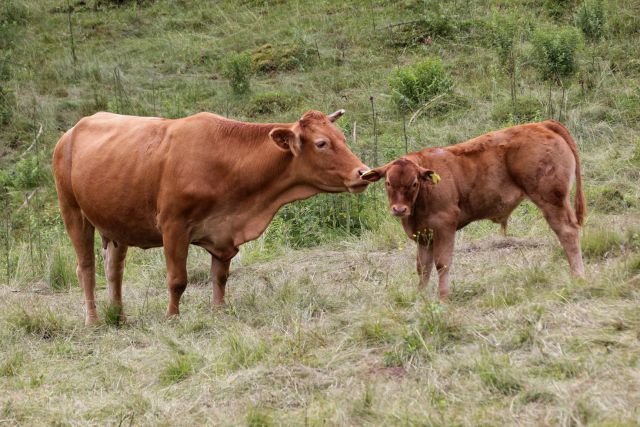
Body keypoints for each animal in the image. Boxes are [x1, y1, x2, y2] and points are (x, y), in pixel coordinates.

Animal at [53, 109, 370, 324]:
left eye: (342, 138)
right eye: (321, 143)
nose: (363, 172)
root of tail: (72, 130)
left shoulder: (224, 232)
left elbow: (220, 277)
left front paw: (218, 312)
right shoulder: (173, 225)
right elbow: (177, 279)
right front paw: (172, 318)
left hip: (116, 221)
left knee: (113, 269)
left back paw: (119, 317)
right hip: (72, 210)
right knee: (86, 269)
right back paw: (94, 321)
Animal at [360, 120, 584, 300]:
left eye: (414, 183)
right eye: (388, 182)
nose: (399, 209)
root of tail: (542, 124)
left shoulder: (444, 226)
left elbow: (442, 263)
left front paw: (443, 297)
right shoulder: (424, 235)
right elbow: (422, 267)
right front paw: (420, 295)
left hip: (551, 199)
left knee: (567, 232)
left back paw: (578, 277)